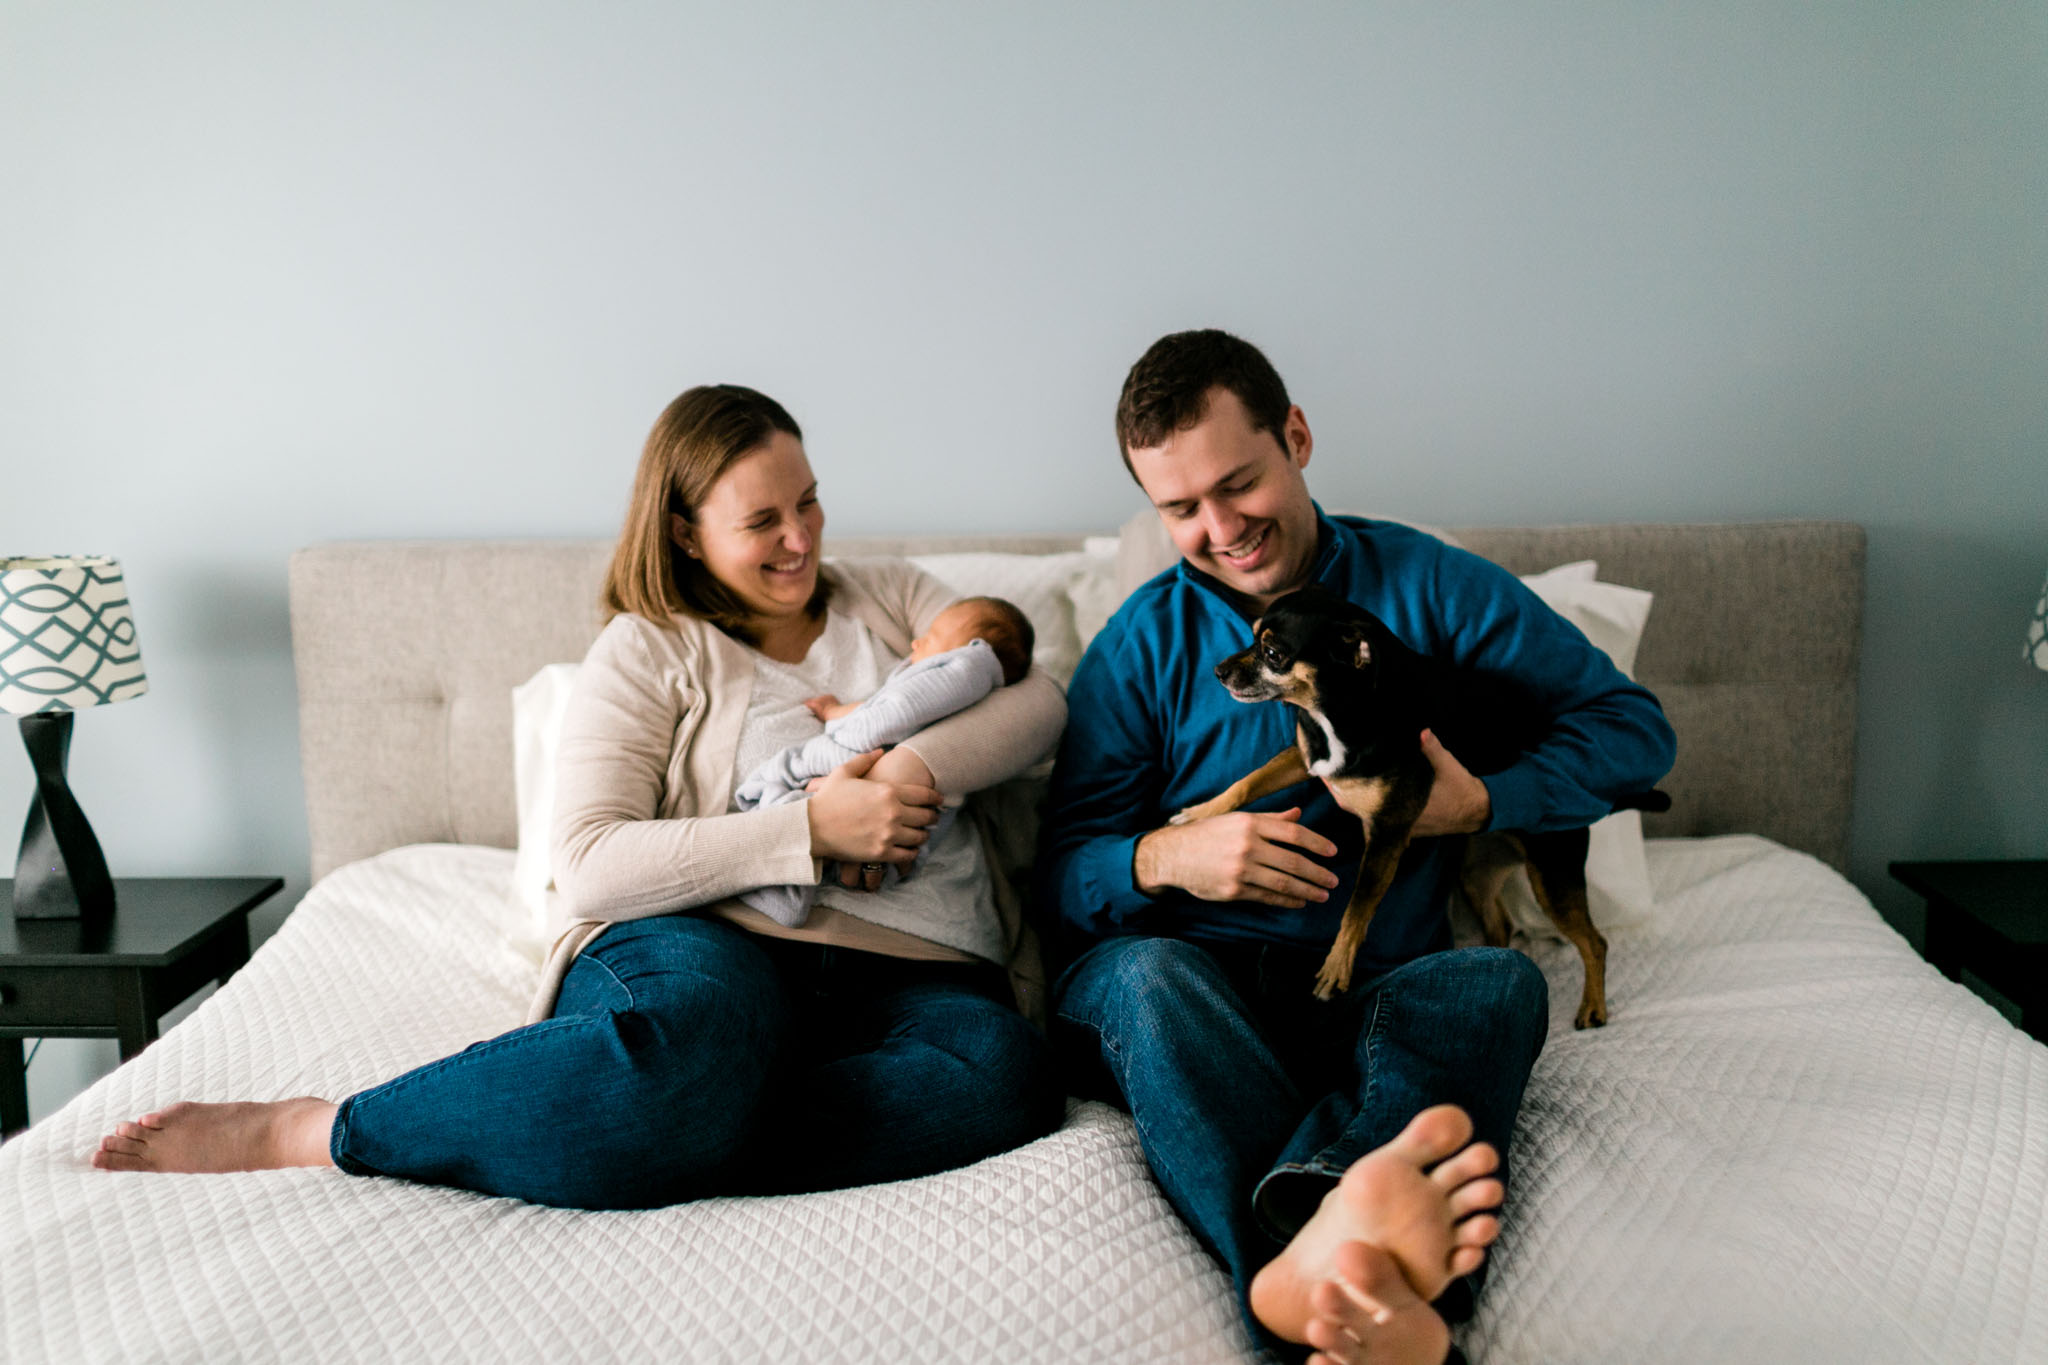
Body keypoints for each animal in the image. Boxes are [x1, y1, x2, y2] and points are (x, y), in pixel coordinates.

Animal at [1171, 585, 1662, 1023]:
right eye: (1252, 636)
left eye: (1272, 653)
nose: (1218, 671)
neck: (1343, 710)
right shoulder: (1306, 757)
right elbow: (1247, 784)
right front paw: (1197, 814)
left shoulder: (1388, 830)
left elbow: (1358, 905)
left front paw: (1335, 968)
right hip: (1474, 873)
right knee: (1502, 924)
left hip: (1552, 878)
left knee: (1594, 942)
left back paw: (1593, 1007)